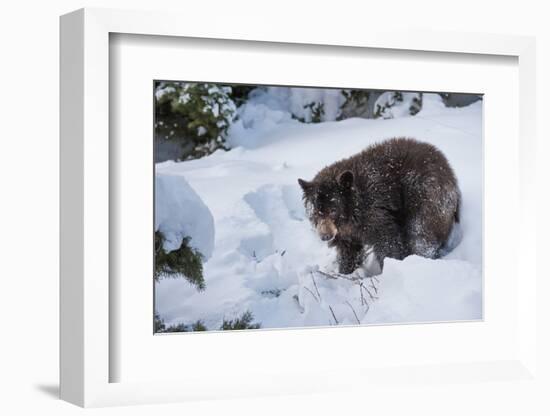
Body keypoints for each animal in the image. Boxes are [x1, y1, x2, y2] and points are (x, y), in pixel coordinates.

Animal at [300, 137, 464, 276]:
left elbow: (388, 242)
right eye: (316, 211)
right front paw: (345, 271)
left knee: (420, 235)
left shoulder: (375, 212)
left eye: (333, 210)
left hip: (426, 197)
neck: (351, 212)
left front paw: (390, 268)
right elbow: (349, 250)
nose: (325, 236)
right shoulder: (346, 233)